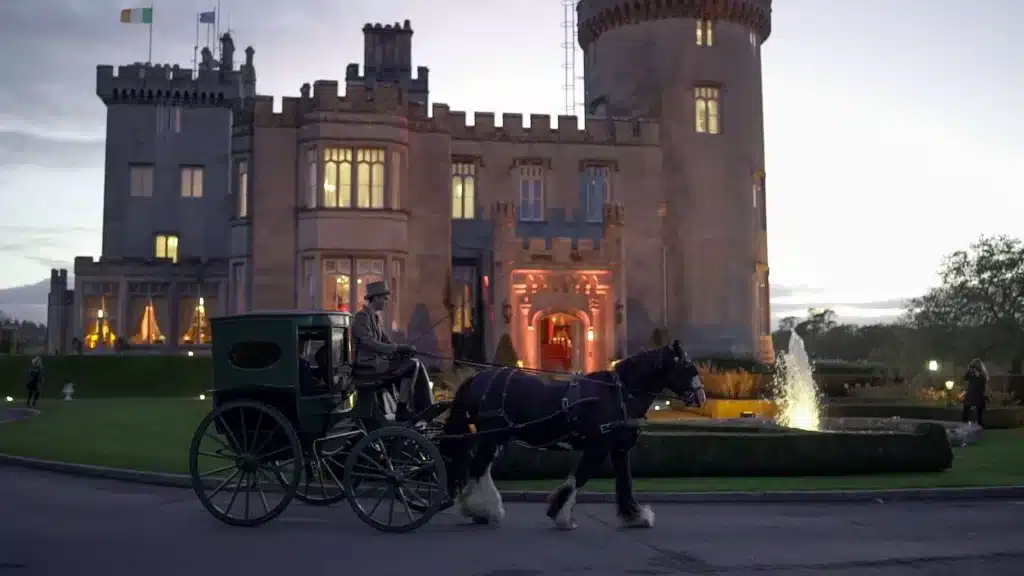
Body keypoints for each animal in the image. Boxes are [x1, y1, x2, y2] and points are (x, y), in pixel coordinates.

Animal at [436, 340, 708, 528]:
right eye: (688, 368)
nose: (701, 397)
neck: (618, 393)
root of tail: (477, 378)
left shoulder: (619, 449)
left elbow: (625, 481)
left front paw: (635, 515)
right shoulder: (598, 447)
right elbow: (579, 478)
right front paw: (561, 515)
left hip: (495, 437)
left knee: (479, 469)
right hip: (491, 436)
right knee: (478, 469)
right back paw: (483, 510)